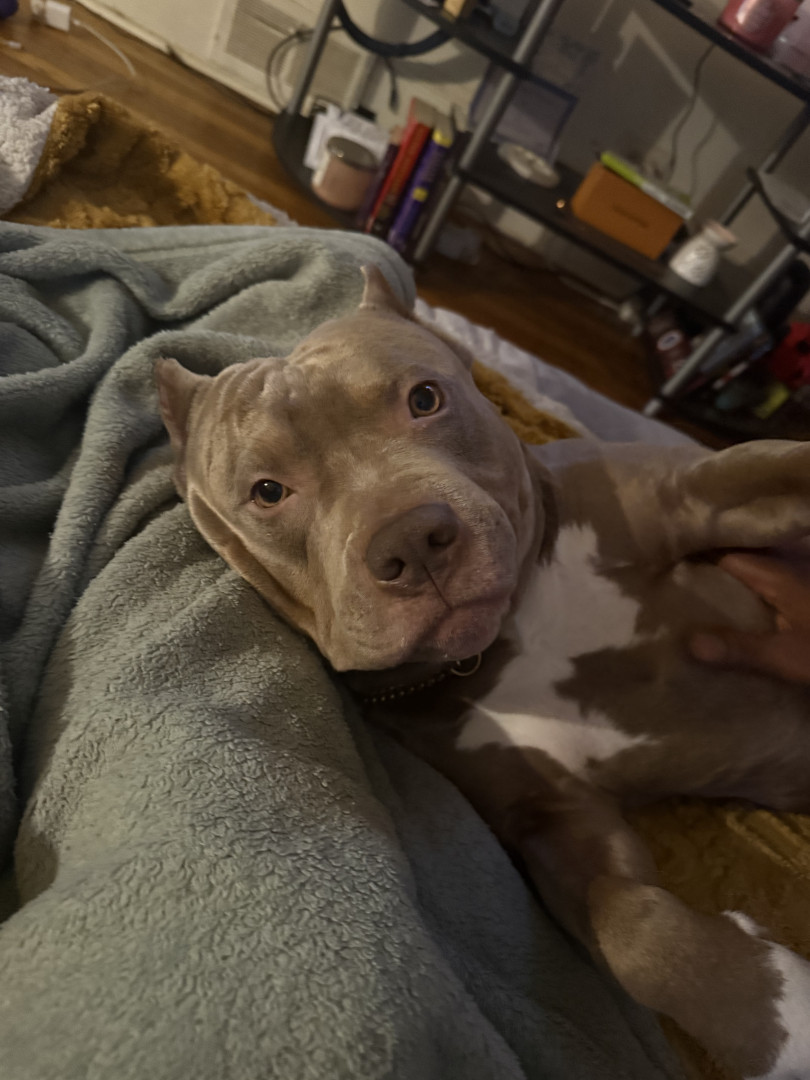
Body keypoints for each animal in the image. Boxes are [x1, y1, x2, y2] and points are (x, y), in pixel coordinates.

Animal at [156, 266, 810, 1080]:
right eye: (268, 491)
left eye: (425, 398)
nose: (412, 540)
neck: (510, 634)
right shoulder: (554, 816)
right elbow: (629, 926)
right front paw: (779, 1015)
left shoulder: (710, 489)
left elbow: (787, 464)